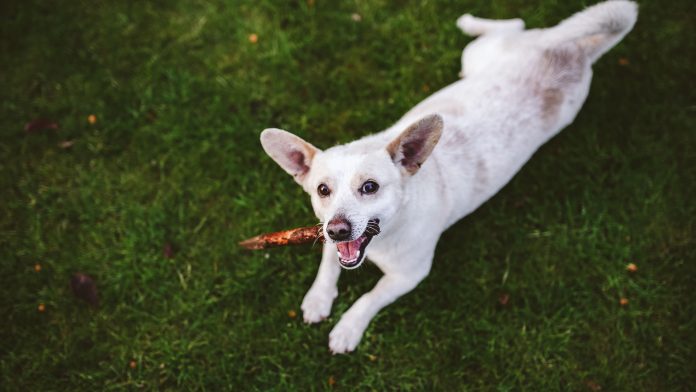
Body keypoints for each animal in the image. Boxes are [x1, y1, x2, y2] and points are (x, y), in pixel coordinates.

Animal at [260, 0, 636, 354]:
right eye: (322, 190)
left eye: (370, 187)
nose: (338, 229)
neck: (387, 235)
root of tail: (575, 50)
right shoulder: (328, 235)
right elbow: (328, 263)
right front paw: (318, 298)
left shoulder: (409, 276)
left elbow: (370, 297)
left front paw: (348, 328)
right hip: (479, 60)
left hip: (488, 57)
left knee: (514, 23)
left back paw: (469, 21)